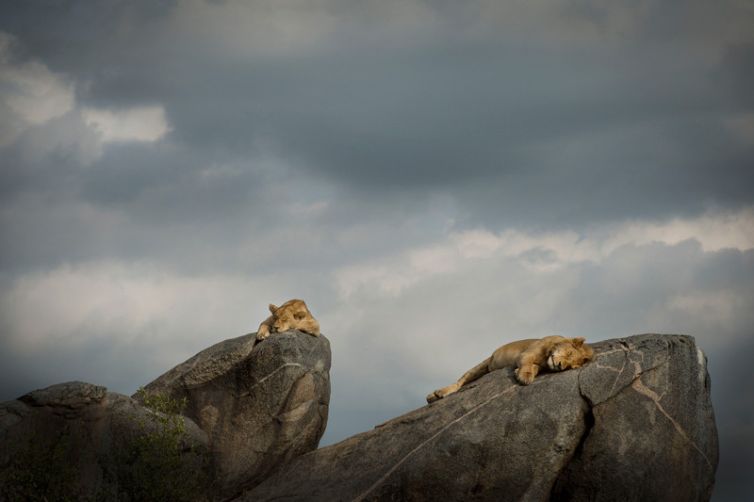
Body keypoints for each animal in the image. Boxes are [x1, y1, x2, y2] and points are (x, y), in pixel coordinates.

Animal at [426, 336, 593, 403]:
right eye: (569, 353)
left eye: (570, 367)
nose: (560, 366)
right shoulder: (526, 353)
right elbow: (527, 365)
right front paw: (524, 377)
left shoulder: (540, 364)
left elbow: (534, 368)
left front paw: (518, 373)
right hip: (482, 365)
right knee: (460, 382)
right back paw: (438, 393)